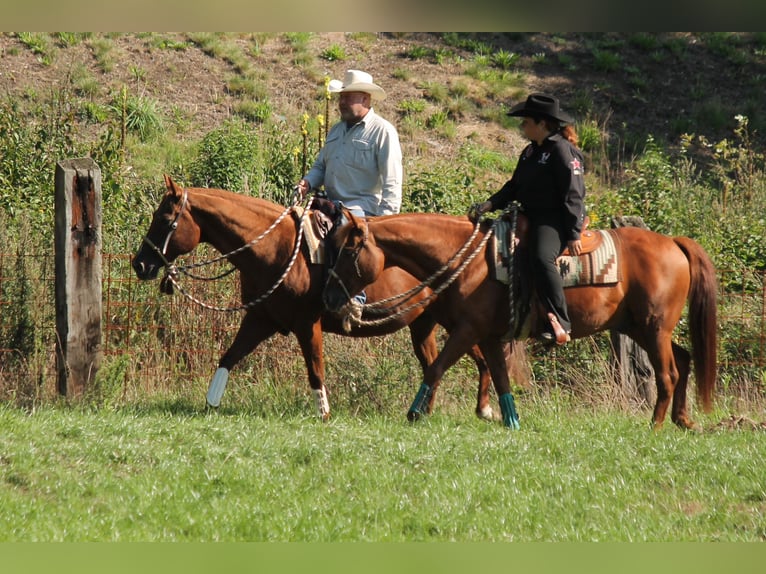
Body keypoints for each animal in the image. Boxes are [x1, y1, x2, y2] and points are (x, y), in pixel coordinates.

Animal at [133, 174, 498, 418]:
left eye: (164, 219)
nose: (140, 264)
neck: (275, 249)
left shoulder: (308, 324)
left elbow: (315, 368)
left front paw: (323, 413)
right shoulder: (261, 318)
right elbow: (229, 357)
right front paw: (211, 402)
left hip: (455, 321)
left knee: (476, 357)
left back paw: (484, 409)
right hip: (424, 325)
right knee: (434, 362)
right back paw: (429, 410)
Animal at [324, 213, 720, 432]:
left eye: (348, 250)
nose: (330, 298)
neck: (469, 262)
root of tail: (673, 242)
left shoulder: (468, 331)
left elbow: (436, 368)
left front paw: (414, 413)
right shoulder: (487, 336)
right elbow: (499, 376)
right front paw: (509, 420)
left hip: (654, 329)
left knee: (667, 374)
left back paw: (655, 426)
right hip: (639, 328)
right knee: (684, 360)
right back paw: (683, 420)